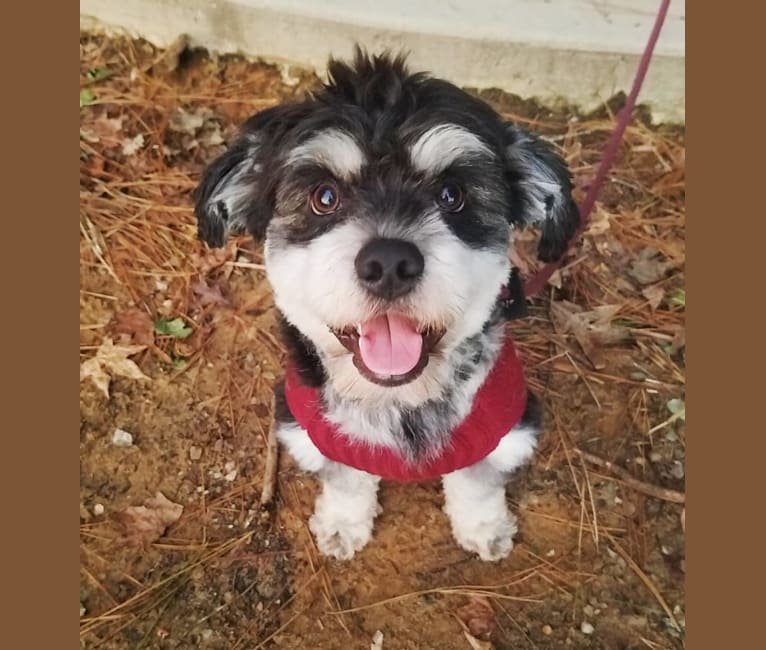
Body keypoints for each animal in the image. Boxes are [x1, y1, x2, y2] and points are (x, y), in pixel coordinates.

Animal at [195, 48, 580, 560]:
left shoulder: (505, 429)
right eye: (324, 196)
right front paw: (343, 522)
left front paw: (482, 525)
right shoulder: (316, 433)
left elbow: (476, 479)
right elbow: (346, 478)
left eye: (452, 194)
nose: (390, 263)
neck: (399, 402)